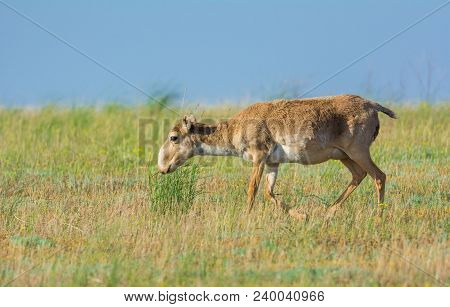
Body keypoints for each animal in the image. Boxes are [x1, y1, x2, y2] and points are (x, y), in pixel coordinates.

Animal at [156, 94, 396, 219]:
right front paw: (301, 215)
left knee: (378, 176)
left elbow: (252, 190)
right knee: (359, 175)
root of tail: (372, 105)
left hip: (358, 151)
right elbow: (268, 192)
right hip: (344, 156)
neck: (236, 127)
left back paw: (378, 216)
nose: (162, 167)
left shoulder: (259, 157)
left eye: (173, 137)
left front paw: (245, 216)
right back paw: (328, 210)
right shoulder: (273, 163)